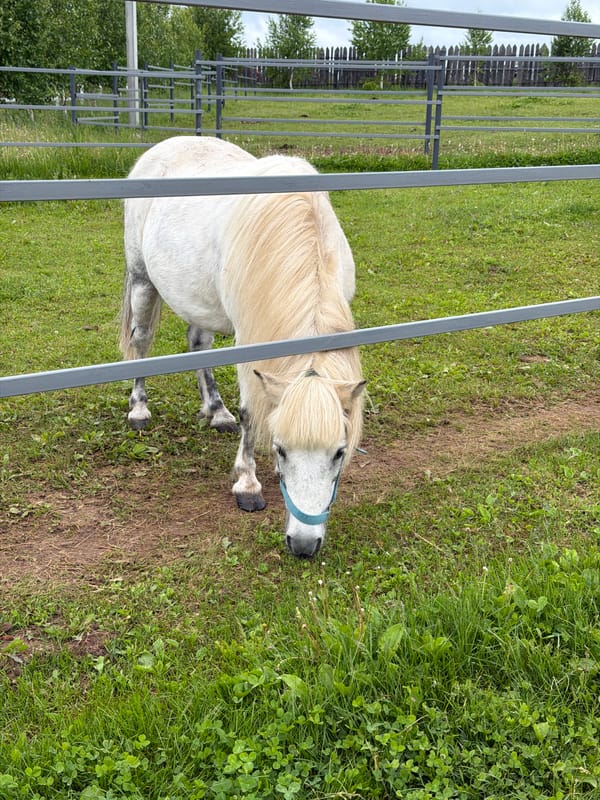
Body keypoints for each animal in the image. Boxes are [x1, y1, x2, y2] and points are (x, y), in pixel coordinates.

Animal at [120, 136, 365, 558]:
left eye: (338, 451)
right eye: (280, 449)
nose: (304, 545)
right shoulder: (247, 339)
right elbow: (251, 412)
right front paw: (247, 484)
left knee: (198, 344)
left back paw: (216, 412)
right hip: (142, 281)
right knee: (141, 341)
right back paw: (139, 409)